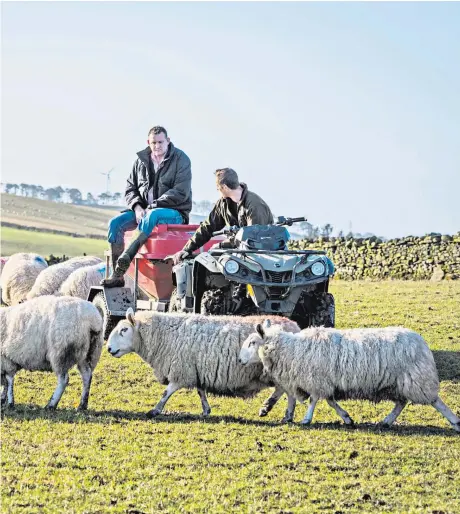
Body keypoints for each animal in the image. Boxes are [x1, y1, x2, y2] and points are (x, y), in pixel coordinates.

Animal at [108, 310, 302, 418]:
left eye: (124, 330)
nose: (109, 349)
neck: (162, 335)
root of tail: (295, 326)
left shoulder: (181, 370)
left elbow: (166, 392)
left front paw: (155, 410)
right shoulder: (195, 370)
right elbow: (200, 391)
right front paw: (206, 410)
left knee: (286, 391)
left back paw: (277, 411)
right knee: (284, 390)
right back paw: (275, 410)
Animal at [239, 322, 460, 430]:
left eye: (252, 342)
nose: (240, 360)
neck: (291, 350)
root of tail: (422, 343)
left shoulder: (317, 379)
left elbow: (314, 400)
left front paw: (306, 419)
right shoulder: (325, 382)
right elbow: (330, 401)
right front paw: (346, 418)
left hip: (417, 379)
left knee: (435, 401)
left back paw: (455, 422)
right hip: (399, 382)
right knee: (401, 403)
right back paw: (387, 421)